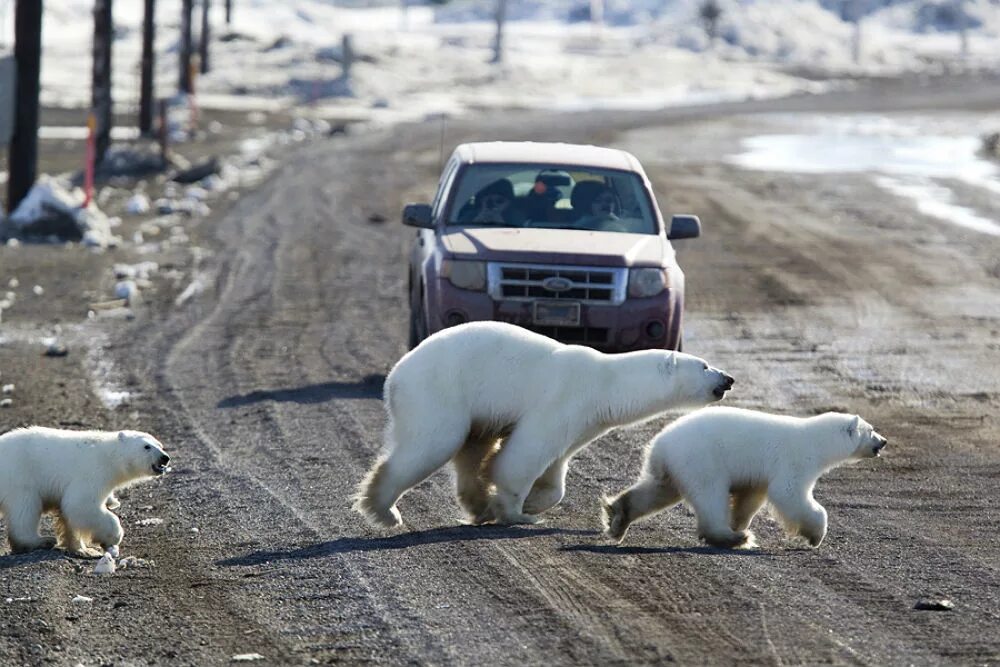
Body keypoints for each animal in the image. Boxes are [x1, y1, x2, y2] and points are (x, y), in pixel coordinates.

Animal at [0, 428, 171, 560]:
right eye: (147, 446)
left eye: (160, 445)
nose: (165, 457)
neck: (108, 456)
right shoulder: (92, 472)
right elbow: (80, 505)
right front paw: (112, 537)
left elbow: (71, 516)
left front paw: (84, 550)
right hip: (18, 476)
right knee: (25, 508)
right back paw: (41, 541)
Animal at [358, 320, 736, 528]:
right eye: (704, 365)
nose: (729, 378)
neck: (607, 382)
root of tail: (394, 378)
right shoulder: (564, 399)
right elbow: (523, 455)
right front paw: (518, 513)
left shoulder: (585, 420)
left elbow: (556, 469)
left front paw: (531, 504)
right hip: (439, 391)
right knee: (433, 443)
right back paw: (384, 510)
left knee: (472, 448)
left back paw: (478, 505)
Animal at [596, 408, 888, 548]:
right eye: (871, 430)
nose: (884, 441)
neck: (817, 440)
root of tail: (659, 445)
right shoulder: (795, 459)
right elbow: (788, 492)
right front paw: (816, 535)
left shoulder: (758, 475)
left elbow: (752, 496)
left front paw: (740, 521)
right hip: (701, 459)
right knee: (710, 494)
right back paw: (732, 537)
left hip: (674, 466)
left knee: (657, 491)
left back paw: (619, 516)